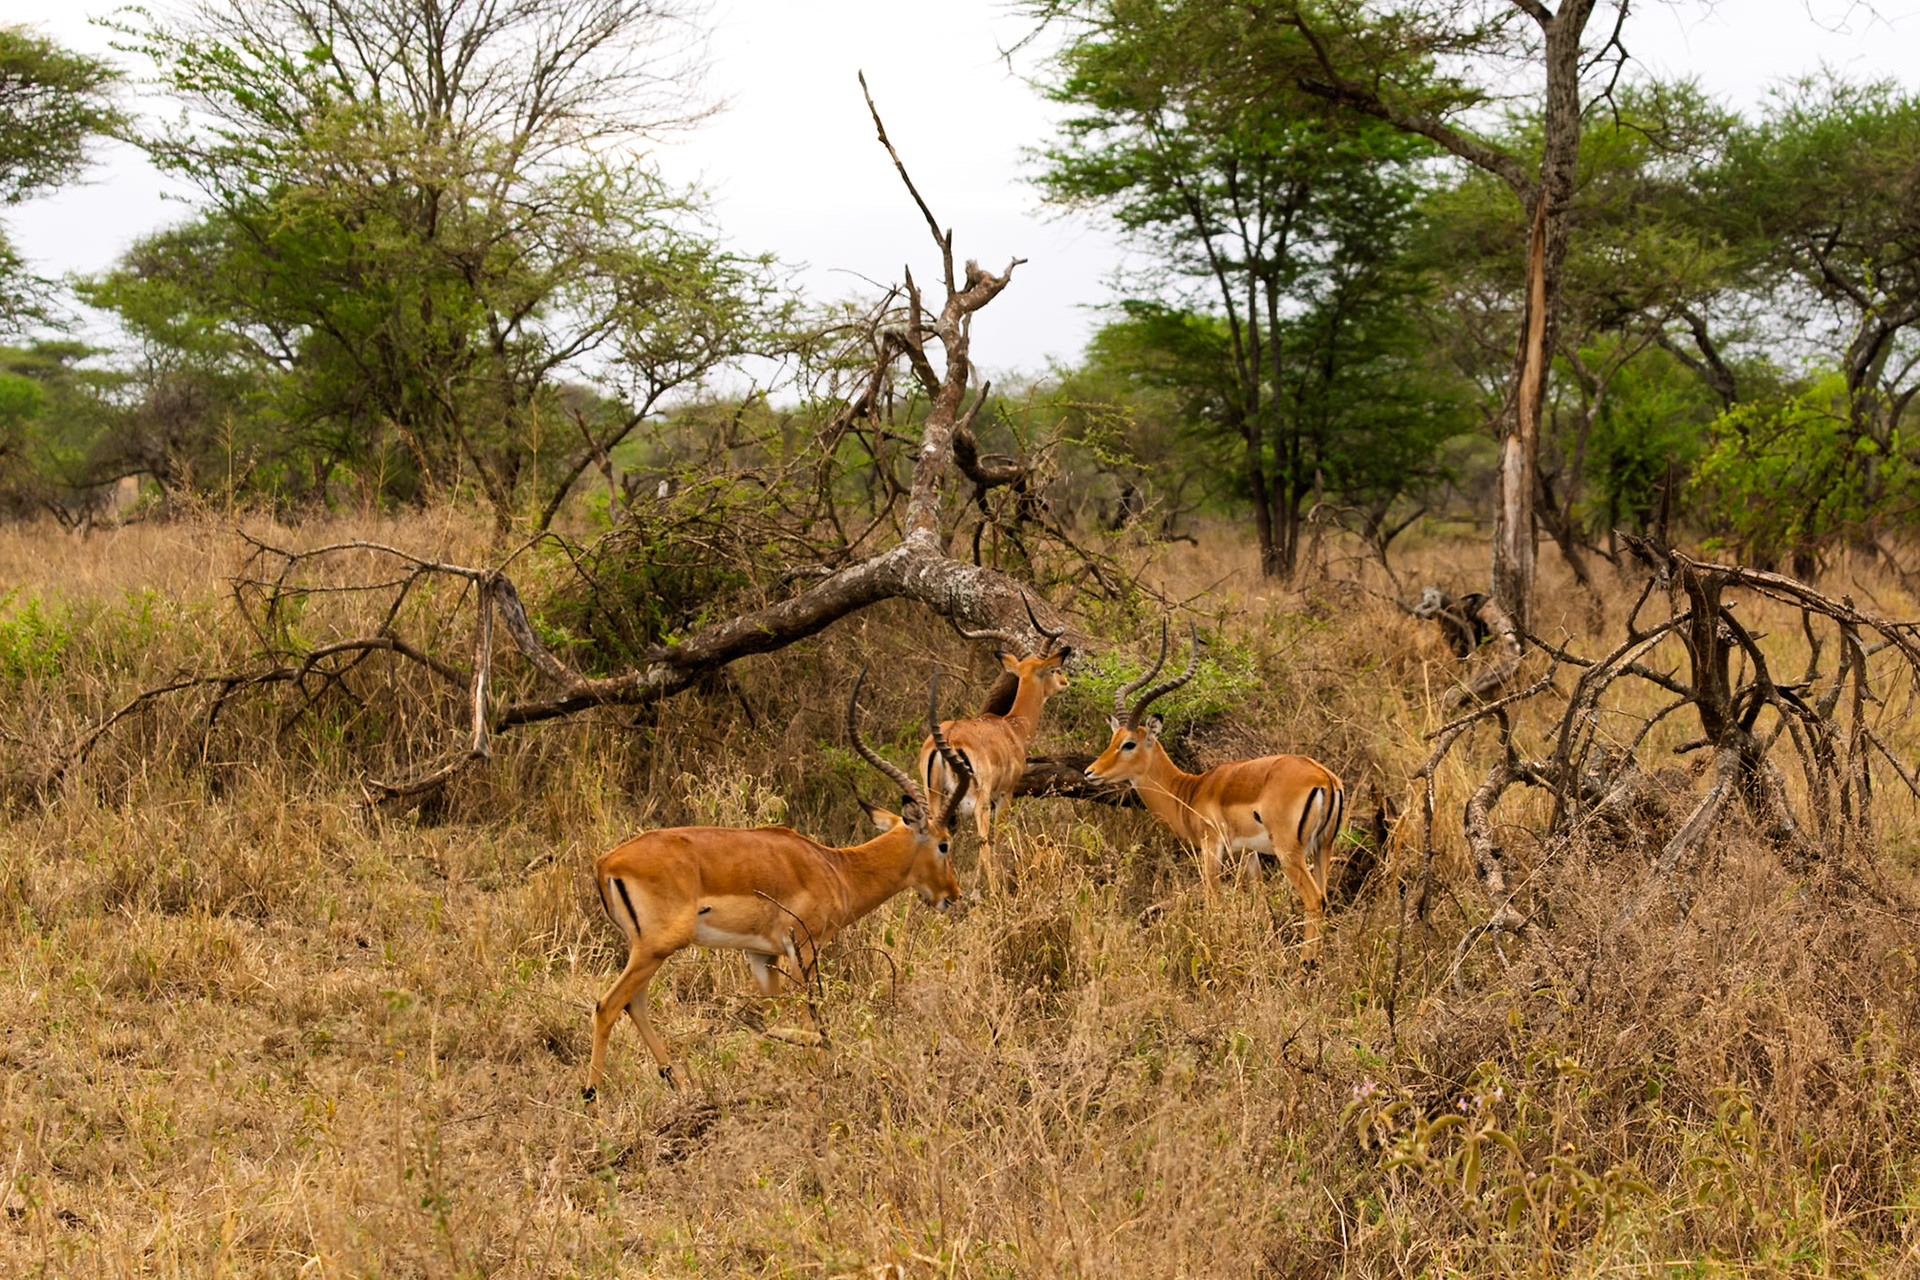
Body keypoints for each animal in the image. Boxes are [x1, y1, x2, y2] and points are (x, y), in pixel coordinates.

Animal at [584, 671, 975, 1098]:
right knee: (607, 1005)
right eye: (944, 844)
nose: (952, 895)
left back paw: (679, 1083)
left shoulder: (761, 955)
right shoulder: (803, 948)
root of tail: (607, 862)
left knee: (634, 1004)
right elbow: (806, 1015)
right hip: (656, 948)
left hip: (644, 950)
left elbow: (777, 1016)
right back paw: (592, 1097)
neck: (835, 868)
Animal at [917, 597, 1072, 889]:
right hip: (977, 799)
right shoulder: (1004, 795)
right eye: (1053, 669)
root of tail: (948, 738)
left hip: (934, 796)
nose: (1064, 681)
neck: (1012, 728)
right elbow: (997, 837)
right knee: (983, 840)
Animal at [1085, 622, 1346, 964]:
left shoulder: (1211, 848)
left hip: (1290, 853)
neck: (1189, 790)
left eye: (1129, 743)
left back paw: (1306, 964)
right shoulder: (1248, 854)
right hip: (1322, 848)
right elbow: (1261, 906)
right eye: (1113, 738)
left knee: (1315, 900)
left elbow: (1213, 901)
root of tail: (1324, 778)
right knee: (1326, 897)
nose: (1090, 772)